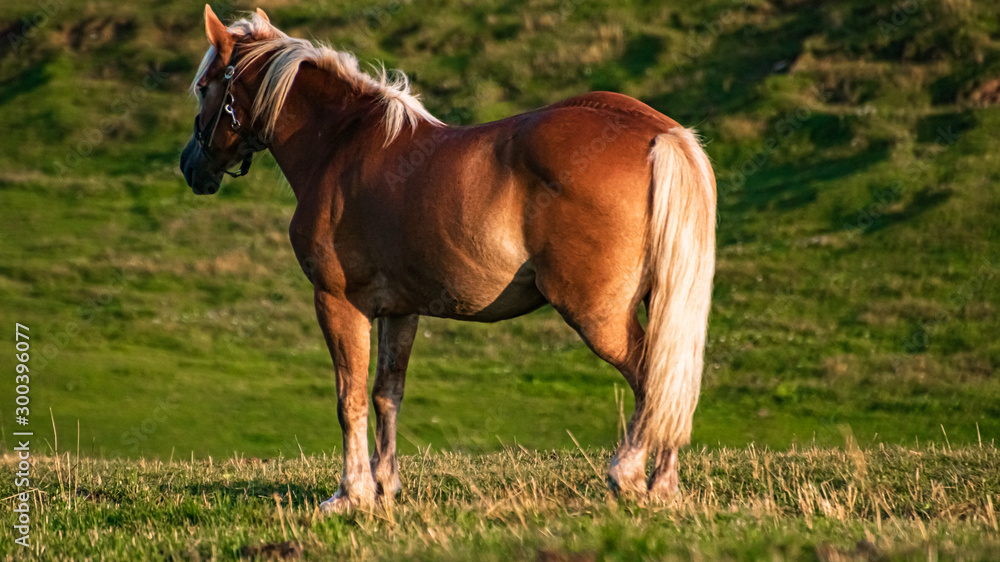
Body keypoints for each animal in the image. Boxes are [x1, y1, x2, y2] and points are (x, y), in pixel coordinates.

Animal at [181, 6, 716, 512]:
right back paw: (662, 485)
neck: (341, 146)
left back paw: (628, 474)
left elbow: (349, 398)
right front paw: (385, 485)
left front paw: (351, 494)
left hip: (597, 315)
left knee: (655, 380)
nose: (190, 166)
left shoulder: (337, 302)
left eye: (205, 87)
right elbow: (386, 393)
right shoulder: (400, 310)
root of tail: (659, 132)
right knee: (671, 380)